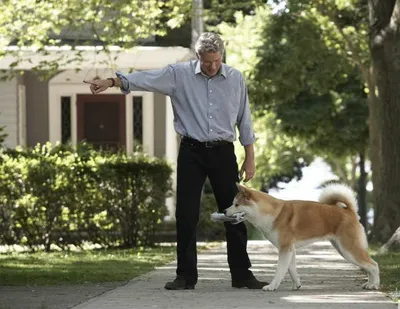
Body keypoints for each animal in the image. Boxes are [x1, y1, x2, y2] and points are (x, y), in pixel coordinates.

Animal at [227, 183, 380, 292]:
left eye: (236, 204)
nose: (224, 210)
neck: (273, 213)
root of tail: (349, 212)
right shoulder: (290, 249)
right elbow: (291, 269)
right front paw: (297, 285)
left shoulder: (285, 248)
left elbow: (280, 270)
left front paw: (272, 286)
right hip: (343, 249)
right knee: (368, 266)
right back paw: (369, 284)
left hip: (349, 249)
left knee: (373, 265)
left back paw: (374, 285)